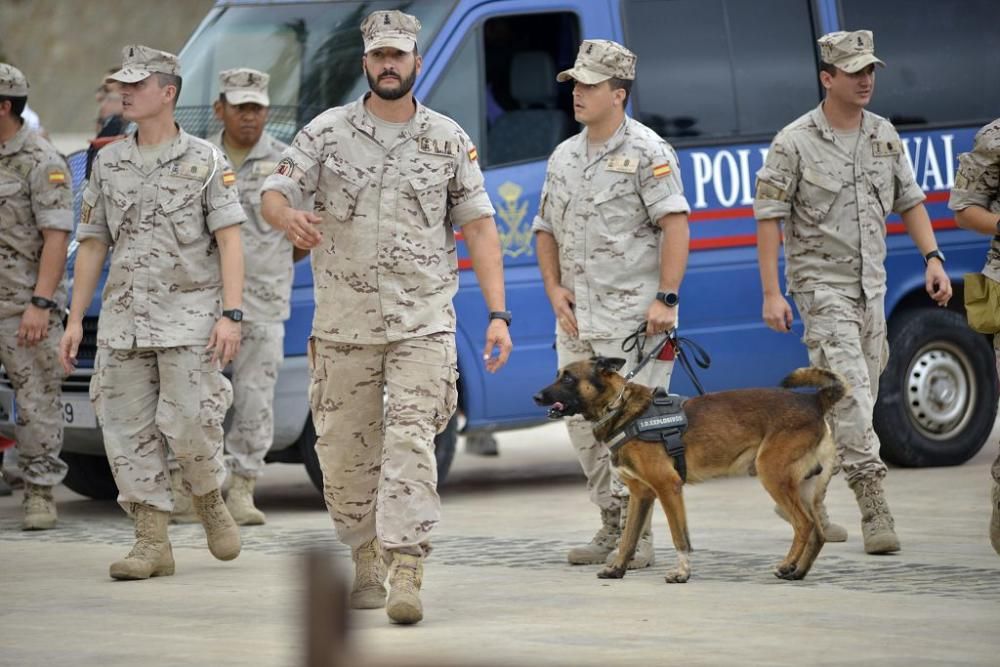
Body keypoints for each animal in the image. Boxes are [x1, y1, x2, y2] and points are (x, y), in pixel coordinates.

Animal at [532, 358, 844, 580]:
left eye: (568, 377)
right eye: (558, 374)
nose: (536, 396)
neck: (619, 409)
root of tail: (813, 400)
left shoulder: (668, 486)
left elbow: (679, 536)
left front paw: (682, 572)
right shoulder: (641, 494)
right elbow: (629, 538)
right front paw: (618, 569)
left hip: (773, 475)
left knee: (803, 524)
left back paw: (788, 564)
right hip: (804, 487)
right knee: (817, 531)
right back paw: (799, 572)